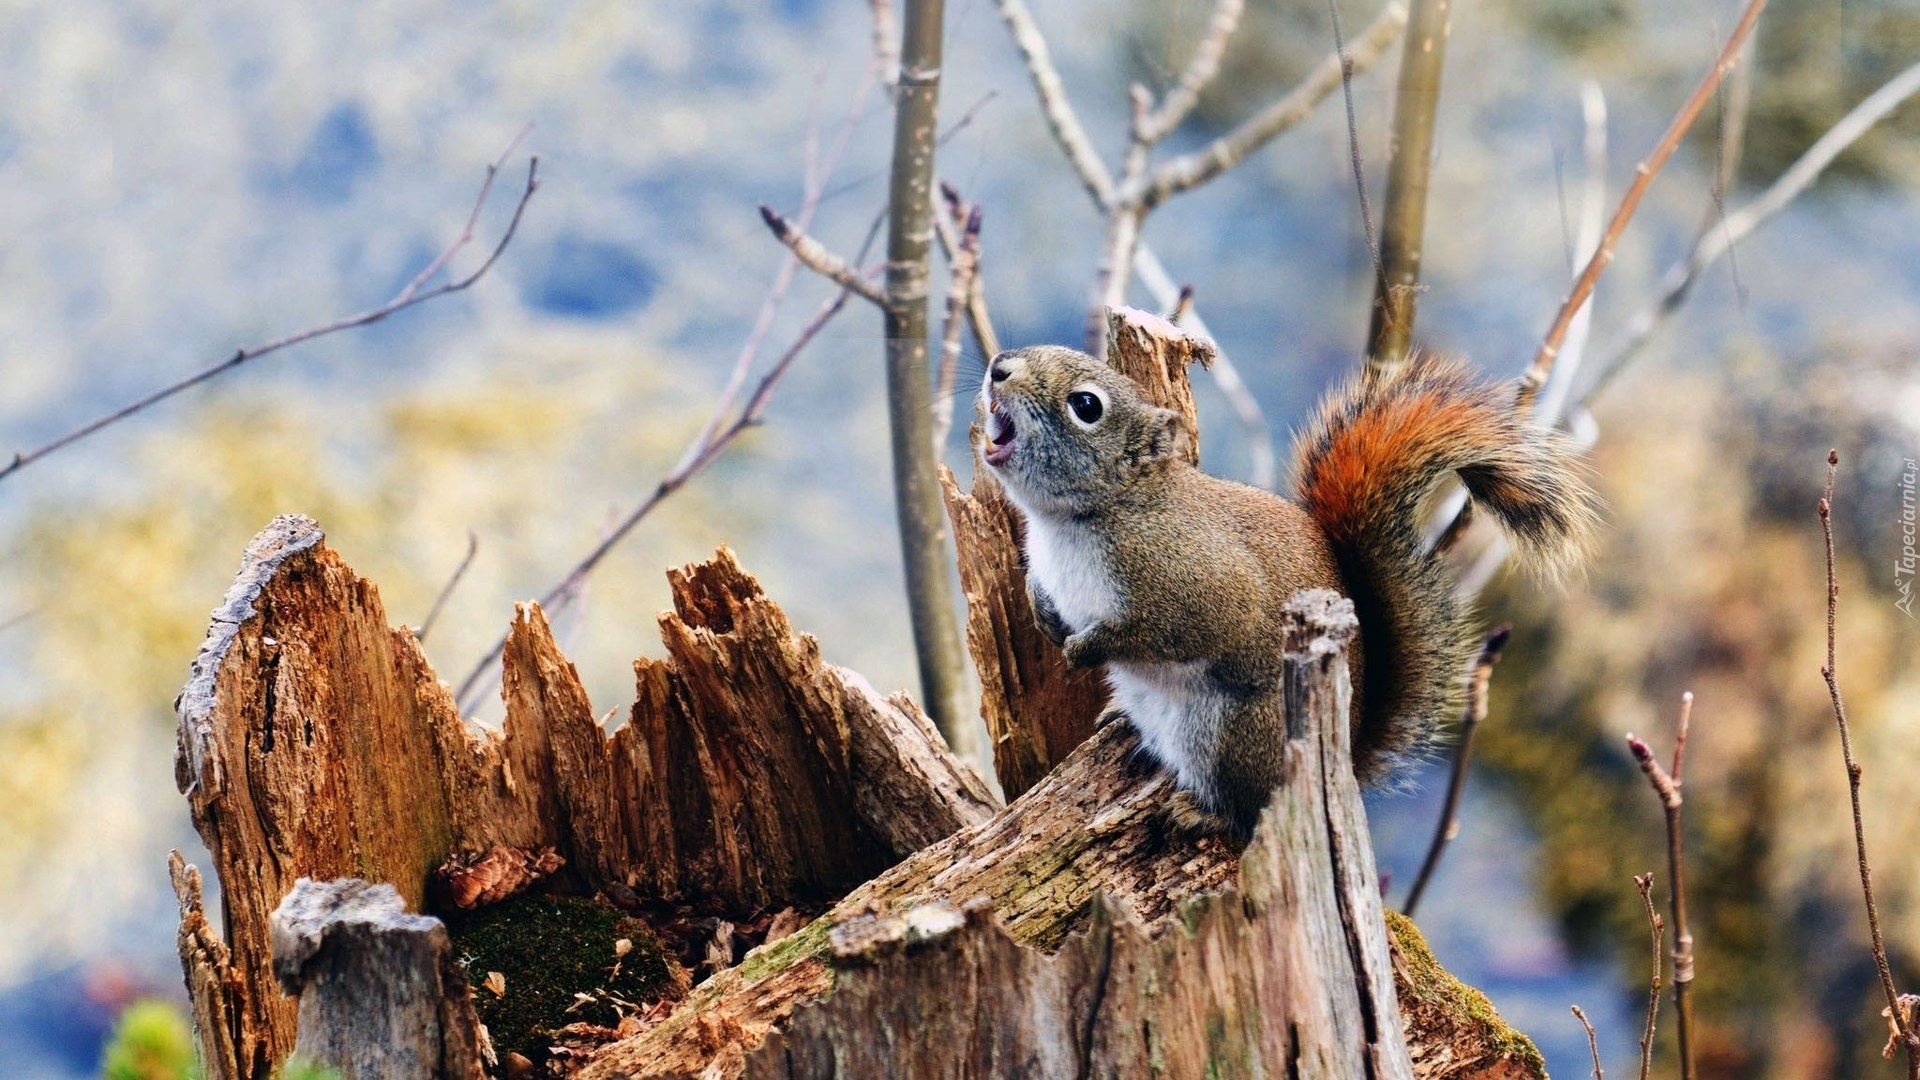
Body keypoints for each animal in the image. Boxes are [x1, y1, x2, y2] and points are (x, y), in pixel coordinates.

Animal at [983, 340, 1597, 837]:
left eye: (1086, 406)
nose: (998, 367)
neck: (1074, 520)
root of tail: (1345, 756)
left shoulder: (1194, 580)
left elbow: (1170, 630)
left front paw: (1086, 647)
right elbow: (1046, 594)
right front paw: (1045, 614)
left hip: (1237, 735)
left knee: (1249, 810)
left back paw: (1201, 813)